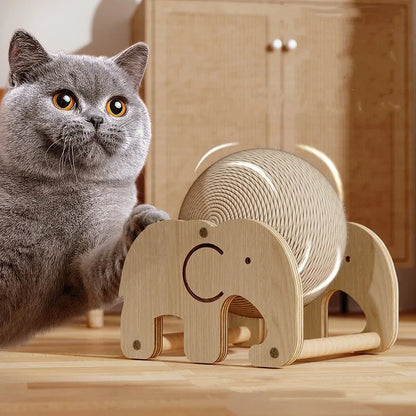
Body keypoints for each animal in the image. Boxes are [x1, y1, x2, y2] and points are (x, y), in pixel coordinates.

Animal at [0, 30, 168, 346]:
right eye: (64, 100)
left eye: (117, 106)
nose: (96, 119)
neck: (67, 186)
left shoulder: (84, 267)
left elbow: (100, 270)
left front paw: (147, 227)